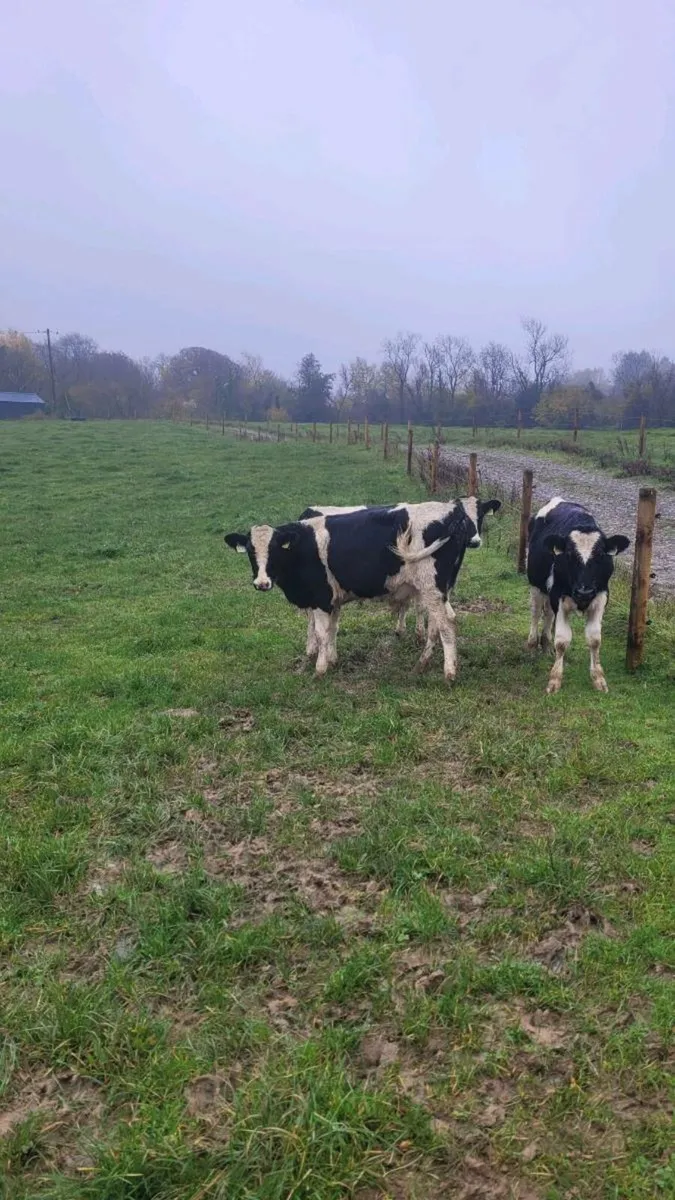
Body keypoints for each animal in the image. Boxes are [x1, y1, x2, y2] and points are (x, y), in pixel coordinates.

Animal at [225, 497, 501, 681]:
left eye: (273, 550)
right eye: (250, 550)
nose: (262, 583)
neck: (303, 547)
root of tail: (453, 513)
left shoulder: (321, 599)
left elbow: (322, 633)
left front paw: (320, 670)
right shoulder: (330, 600)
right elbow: (332, 630)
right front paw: (332, 660)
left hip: (431, 588)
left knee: (446, 624)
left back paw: (449, 673)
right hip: (438, 590)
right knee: (439, 623)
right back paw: (421, 665)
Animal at [526, 497, 630, 694]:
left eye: (600, 554)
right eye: (569, 555)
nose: (584, 591)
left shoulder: (601, 596)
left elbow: (595, 639)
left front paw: (598, 679)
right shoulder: (559, 597)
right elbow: (562, 640)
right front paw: (555, 679)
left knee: (548, 614)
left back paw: (546, 645)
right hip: (536, 584)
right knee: (535, 613)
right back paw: (532, 645)